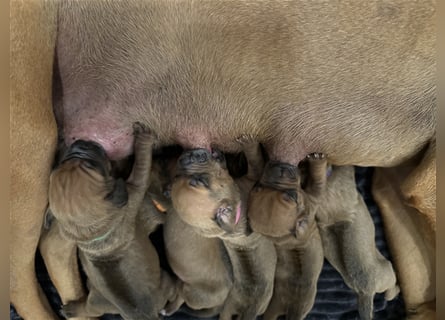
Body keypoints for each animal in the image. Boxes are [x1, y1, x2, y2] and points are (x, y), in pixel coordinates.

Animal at [46, 123, 175, 320]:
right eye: (92, 165)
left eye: (64, 161)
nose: (80, 143)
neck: (91, 232)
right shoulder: (135, 190)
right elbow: (142, 167)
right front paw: (144, 139)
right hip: (165, 280)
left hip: (97, 300)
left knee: (90, 308)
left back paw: (73, 309)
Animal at [169, 142, 274, 320]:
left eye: (199, 180)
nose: (185, 158)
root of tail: (251, 308)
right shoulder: (254, 176)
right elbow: (255, 159)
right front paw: (249, 142)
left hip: (227, 310)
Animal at [248, 154, 398, 318]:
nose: (282, 165)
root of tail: (365, 293)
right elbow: (345, 168)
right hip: (387, 272)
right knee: (391, 285)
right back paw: (394, 292)